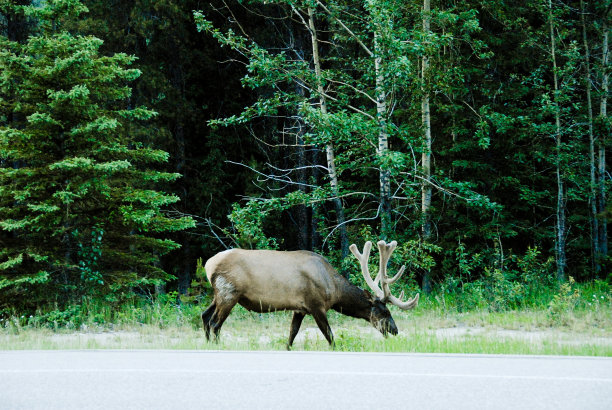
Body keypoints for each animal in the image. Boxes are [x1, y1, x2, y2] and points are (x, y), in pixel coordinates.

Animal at [203, 239, 418, 348]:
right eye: (385, 312)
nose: (395, 330)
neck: (333, 289)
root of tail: (207, 264)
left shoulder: (300, 308)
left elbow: (292, 334)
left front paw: (287, 347)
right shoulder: (316, 305)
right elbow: (330, 336)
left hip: (218, 294)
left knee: (205, 316)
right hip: (229, 292)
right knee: (215, 323)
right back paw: (216, 346)